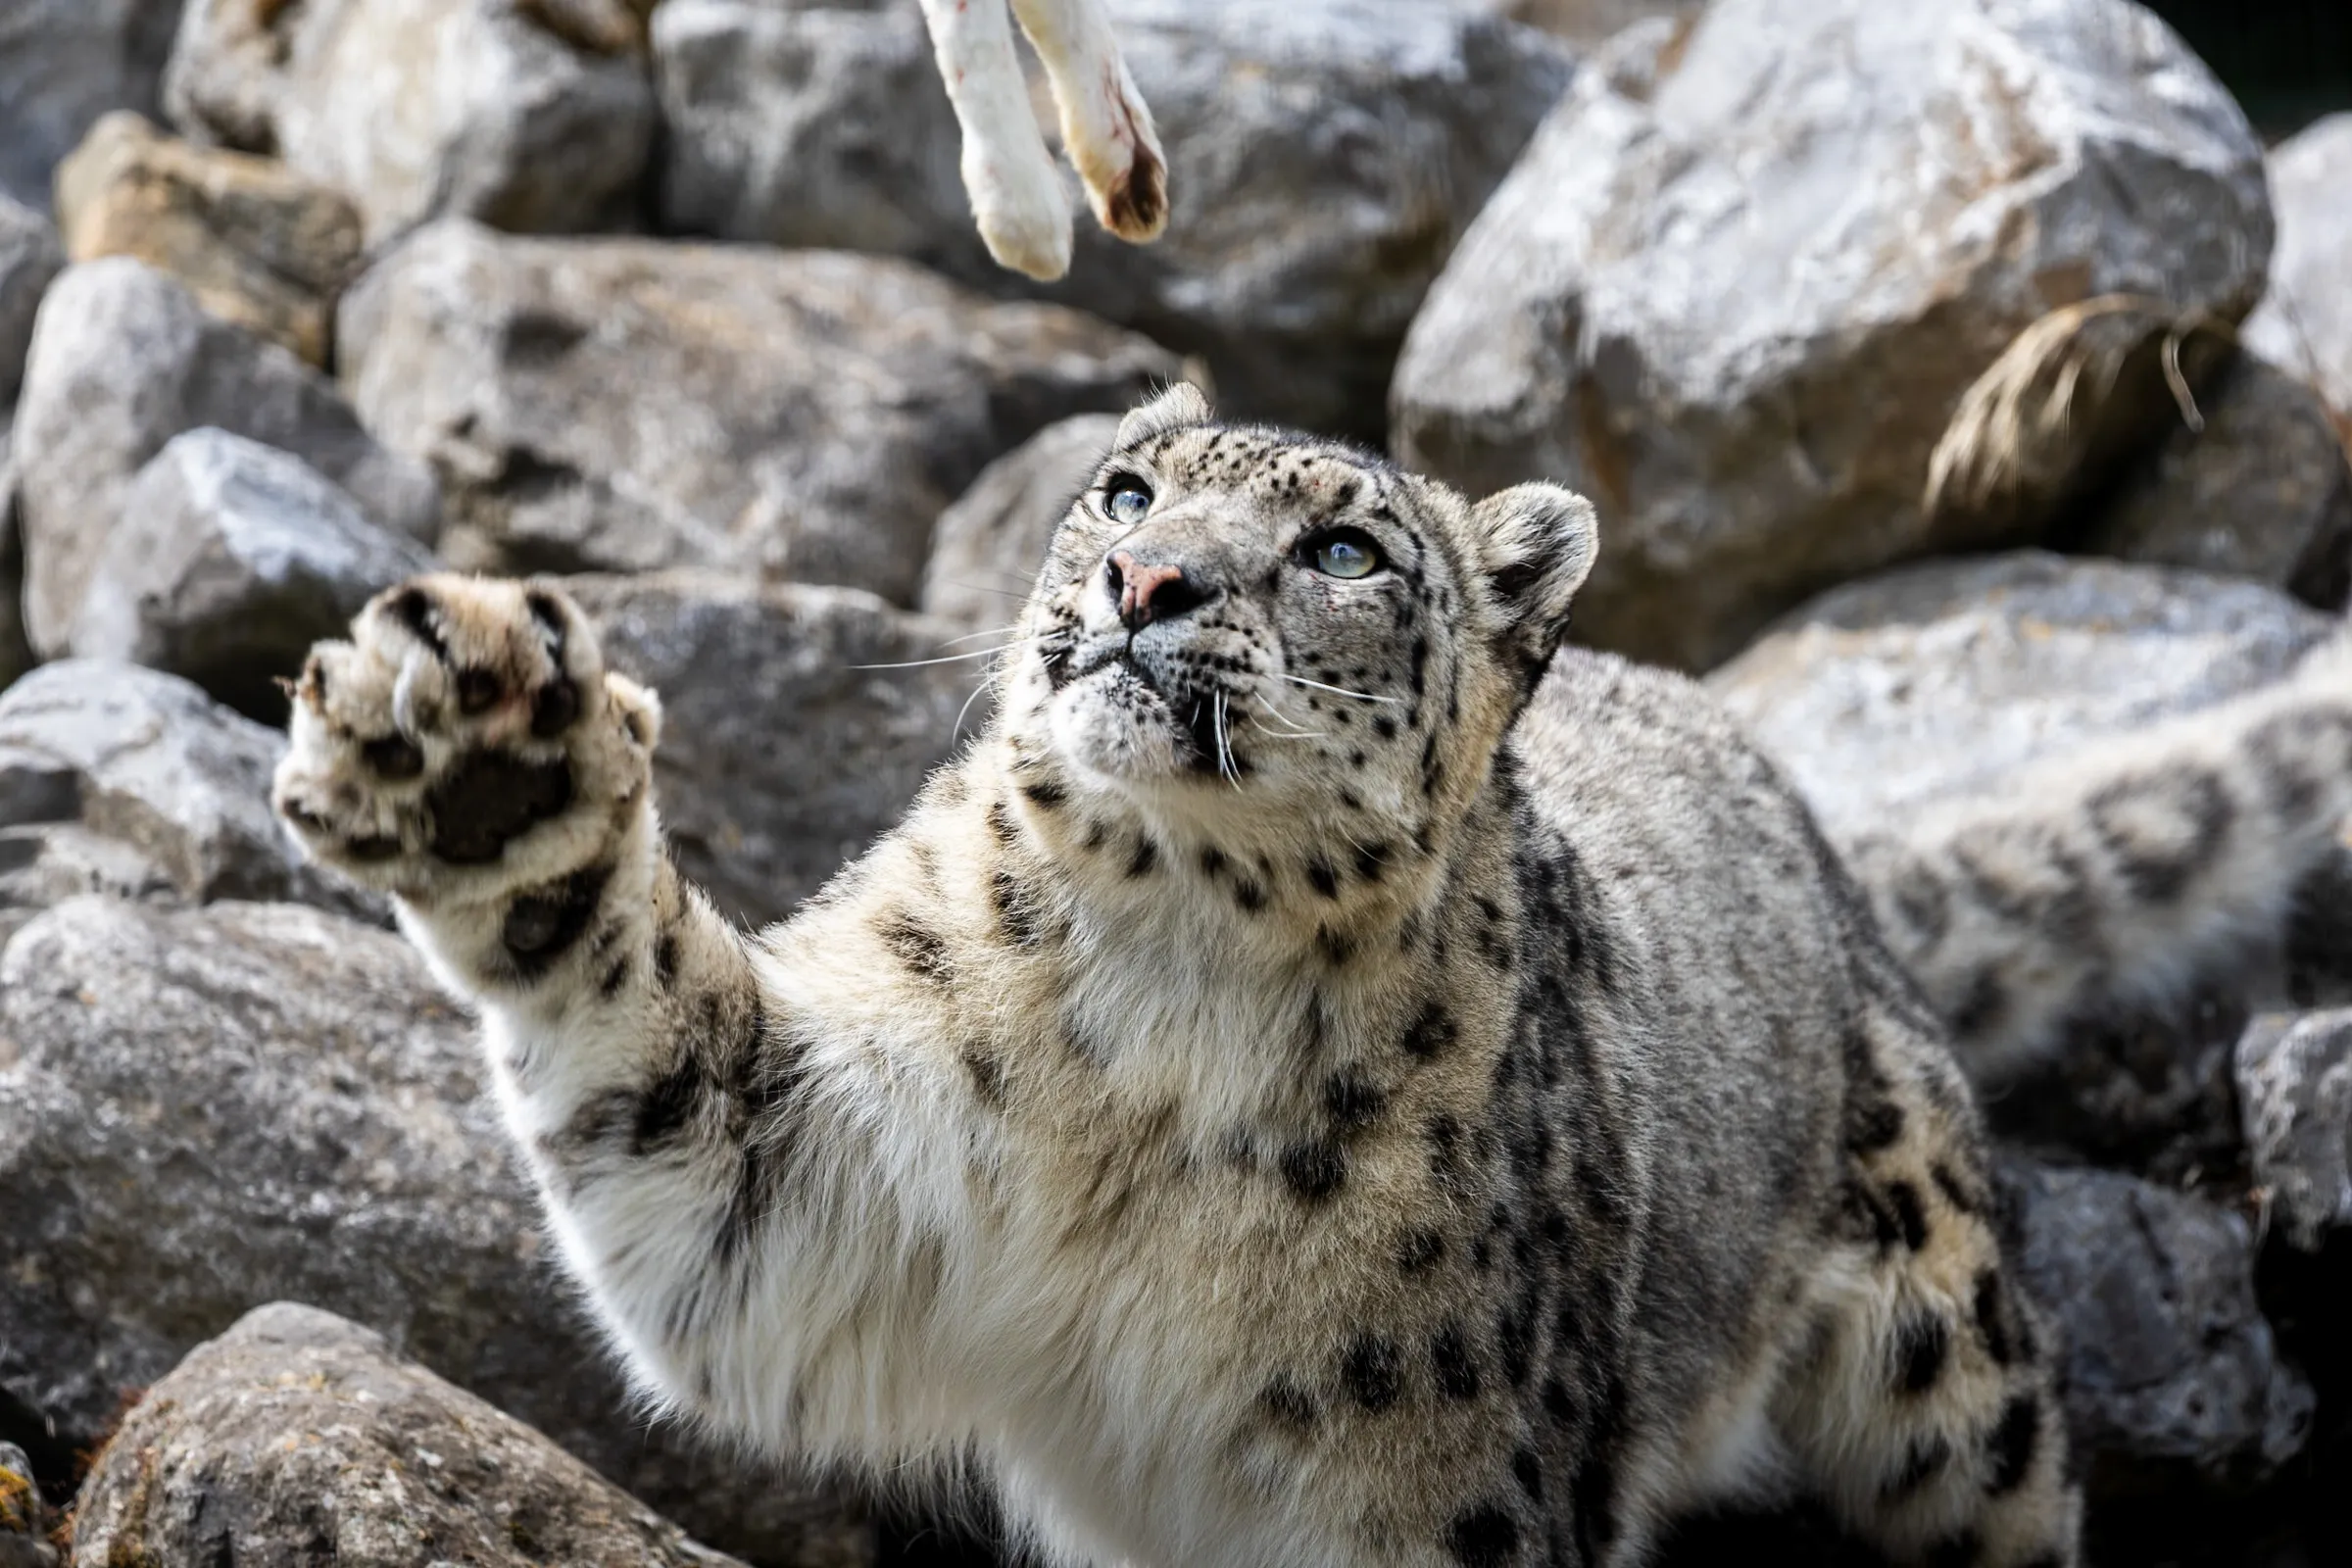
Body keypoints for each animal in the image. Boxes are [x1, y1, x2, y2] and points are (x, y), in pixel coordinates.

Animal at [271, 383, 2352, 1568]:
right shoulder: (815, 1168)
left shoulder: (1441, 1490)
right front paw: (484, 759)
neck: (1167, 979)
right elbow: (666, 1077)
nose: (1148, 587)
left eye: (1345, 548)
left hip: (1961, 1377)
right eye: (1124, 491)